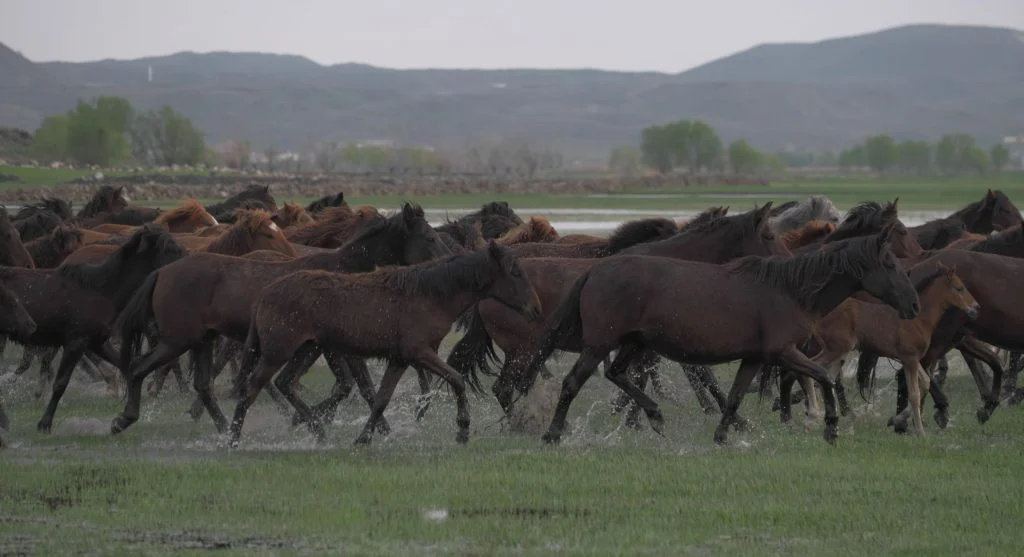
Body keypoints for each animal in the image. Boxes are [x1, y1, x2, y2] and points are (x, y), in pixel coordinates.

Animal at [0, 225, 187, 432]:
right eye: (167, 247)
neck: (103, 291)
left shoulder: (98, 342)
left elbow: (126, 367)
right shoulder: (76, 341)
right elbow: (60, 383)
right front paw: (45, 422)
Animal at [109, 203, 451, 435]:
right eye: (429, 237)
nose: (448, 262)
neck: (344, 272)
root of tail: (161, 273)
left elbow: (352, 387)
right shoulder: (335, 347)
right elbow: (359, 386)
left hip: (201, 340)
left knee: (204, 386)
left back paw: (224, 427)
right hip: (177, 340)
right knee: (139, 368)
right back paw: (123, 419)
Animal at [228, 240, 542, 447]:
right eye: (515, 272)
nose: (535, 309)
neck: (429, 295)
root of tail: (264, 295)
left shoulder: (400, 359)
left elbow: (381, 399)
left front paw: (364, 438)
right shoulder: (419, 353)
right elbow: (457, 379)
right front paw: (463, 429)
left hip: (307, 349)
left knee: (286, 384)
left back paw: (318, 431)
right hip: (277, 353)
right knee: (252, 389)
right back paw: (231, 439)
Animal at [522, 226, 919, 446]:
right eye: (889, 263)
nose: (914, 304)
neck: (790, 290)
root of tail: (594, 271)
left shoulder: (756, 357)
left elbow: (734, 397)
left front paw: (723, 435)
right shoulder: (783, 351)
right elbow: (822, 375)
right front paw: (830, 427)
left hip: (633, 343)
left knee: (616, 374)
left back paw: (655, 415)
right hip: (601, 344)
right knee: (573, 383)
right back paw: (553, 433)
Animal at [778, 262, 979, 435]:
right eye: (959, 288)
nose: (976, 307)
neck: (919, 319)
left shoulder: (911, 359)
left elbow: (925, 383)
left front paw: (899, 420)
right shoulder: (910, 358)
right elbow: (914, 393)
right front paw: (920, 432)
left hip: (837, 352)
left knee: (824, 376)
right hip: (836, 348)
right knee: (809, 370)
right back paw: (811, 418)